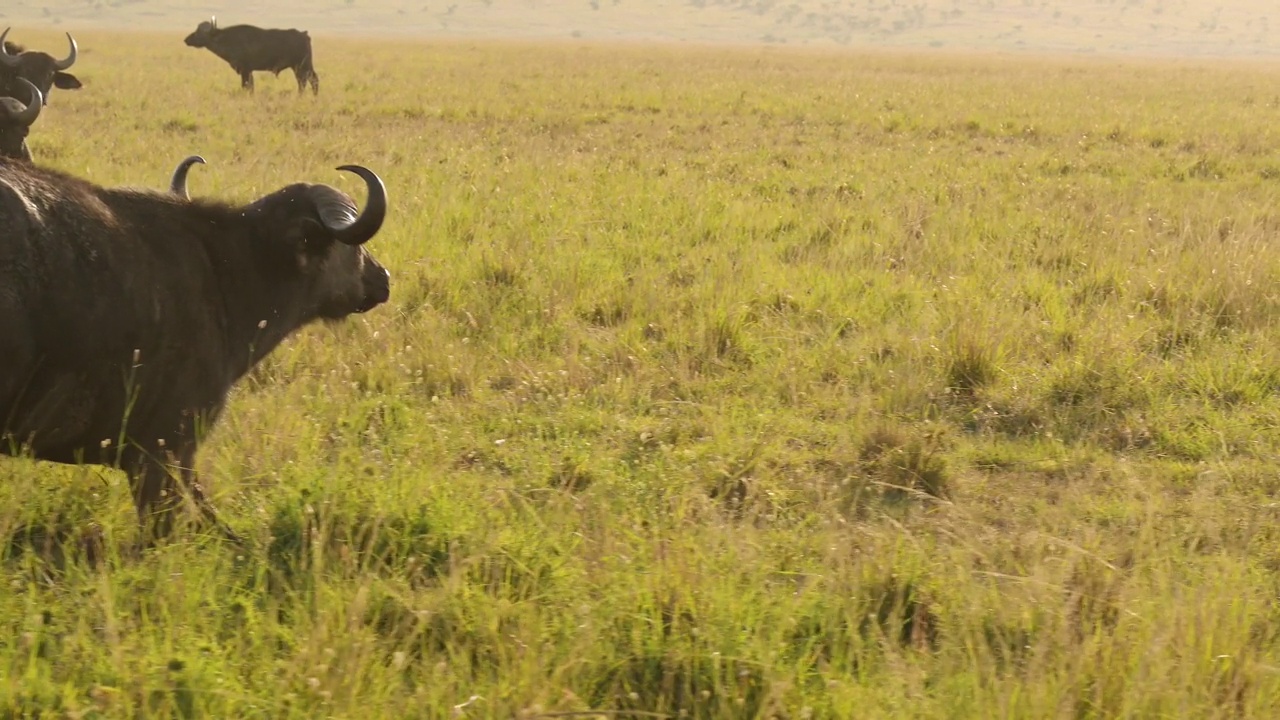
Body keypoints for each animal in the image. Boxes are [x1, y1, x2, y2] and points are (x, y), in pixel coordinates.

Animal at [186, 17, 322, 95]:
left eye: (199, 32)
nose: (186, 40)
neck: (228, 39)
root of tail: (304, 34)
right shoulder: (249, 71)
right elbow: (250, 87)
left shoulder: (245, 70)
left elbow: (246, 86)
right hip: (301, 67)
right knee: (308, 81)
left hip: (302, 66)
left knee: (308, 81)